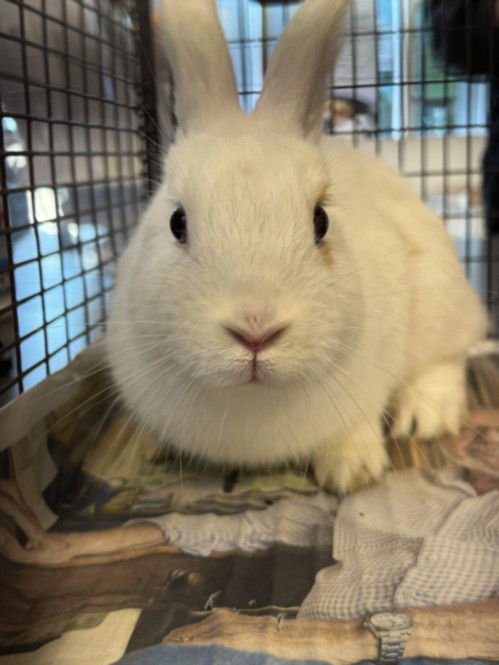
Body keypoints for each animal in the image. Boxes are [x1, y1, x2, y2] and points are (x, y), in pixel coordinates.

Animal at [106, 0, 488, 494]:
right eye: (177, 222)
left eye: (320, 221)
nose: (256, 331)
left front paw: (351, 473)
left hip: (441, 303)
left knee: (447, 360)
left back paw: (425, 417)